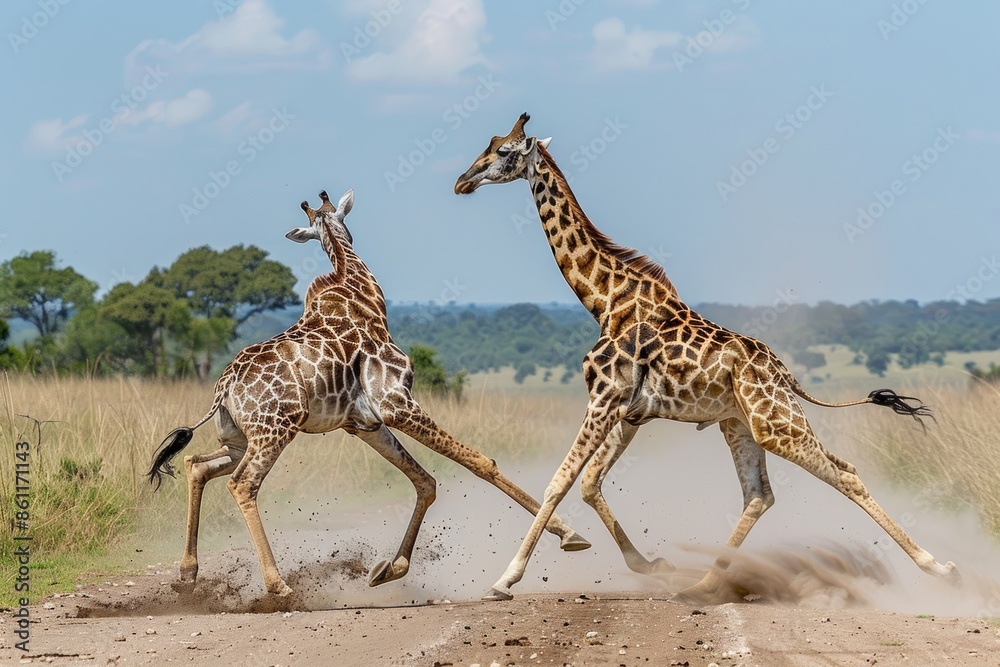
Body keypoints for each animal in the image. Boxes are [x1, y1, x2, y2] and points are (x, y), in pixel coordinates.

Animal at [147, 188, 590, 598]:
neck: (364, 298)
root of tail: (223, 389)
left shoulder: (365, 423)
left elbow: (425, 481)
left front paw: (389, 569)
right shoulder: (396, 404)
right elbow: (480, 462)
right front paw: (570, 535)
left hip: (241, 438)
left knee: (196, 465)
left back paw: (188, 573)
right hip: (273, 432)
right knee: (242, 485)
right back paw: (278, 586)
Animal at [454, 113, 960, 602]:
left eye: (503, 152)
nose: (462, 181)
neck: (605, 301)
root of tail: (784, 373)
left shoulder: (603, 399)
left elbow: (559, 482)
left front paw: (505, 579)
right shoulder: (630, 412)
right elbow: (589, 481)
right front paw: (649, 564)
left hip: (774, 423)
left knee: (843, 475)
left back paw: (939, 567)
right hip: (741, 423)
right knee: (761, 495)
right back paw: (702, 584)